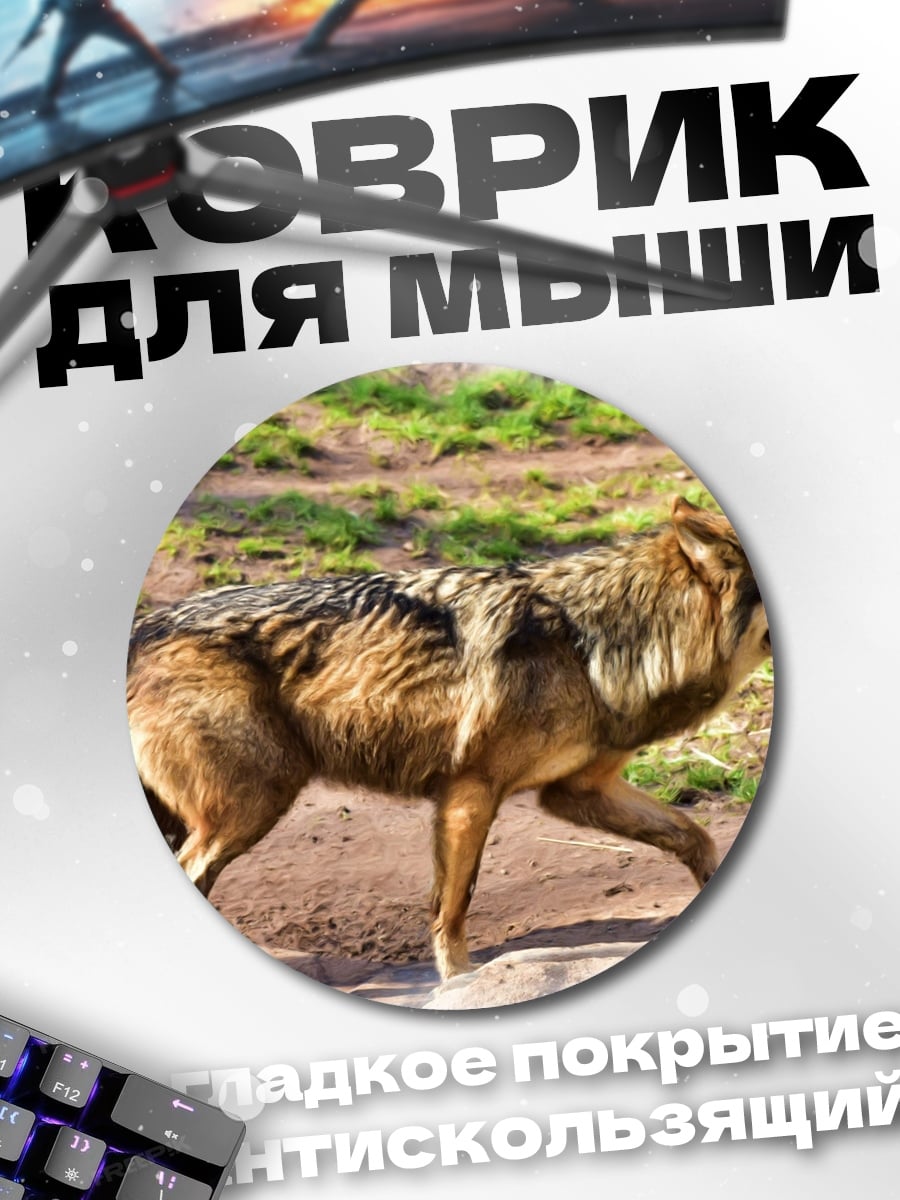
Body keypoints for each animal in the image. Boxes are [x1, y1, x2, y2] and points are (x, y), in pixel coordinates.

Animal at [127, 497, 770, 981]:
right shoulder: (470, 793)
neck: (590, 640)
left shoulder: (576, 792)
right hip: (254, 804)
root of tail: (143, 626)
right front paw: (459, 980)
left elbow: (695, 837)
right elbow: (453, 906)